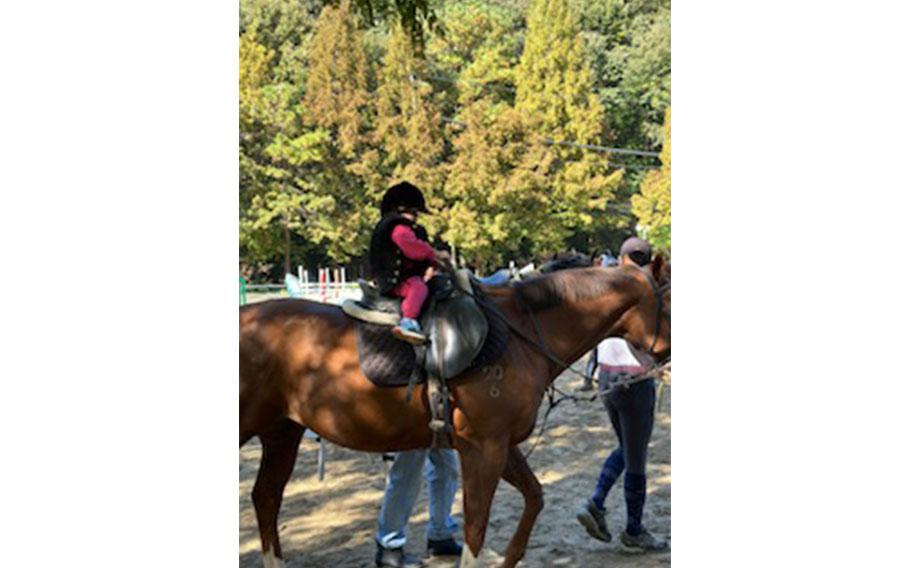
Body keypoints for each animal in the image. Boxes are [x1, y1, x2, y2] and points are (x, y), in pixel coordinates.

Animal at [239, 258, 672, 568]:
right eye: (670, 300)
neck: (519, 335)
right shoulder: (484, 449)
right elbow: (476, 531)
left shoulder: (500, 446)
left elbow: (534, 497)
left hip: (282, 433)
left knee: (266, 497)